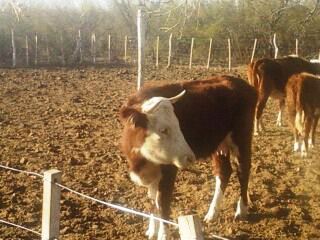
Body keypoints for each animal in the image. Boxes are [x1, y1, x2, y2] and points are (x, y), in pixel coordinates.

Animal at [119, 76, 256, 239]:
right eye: (163, 129)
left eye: (179, 124)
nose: (190, 157)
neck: (141, 162)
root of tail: (240, 83)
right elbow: (153, 202)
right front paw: (152, 230)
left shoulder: (168, 171)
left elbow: (162, 204)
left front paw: (163, 235)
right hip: (220, 146)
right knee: (224, 172)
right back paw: (212, 213)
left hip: (242, 138)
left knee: (243, 170)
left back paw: (241, 210)